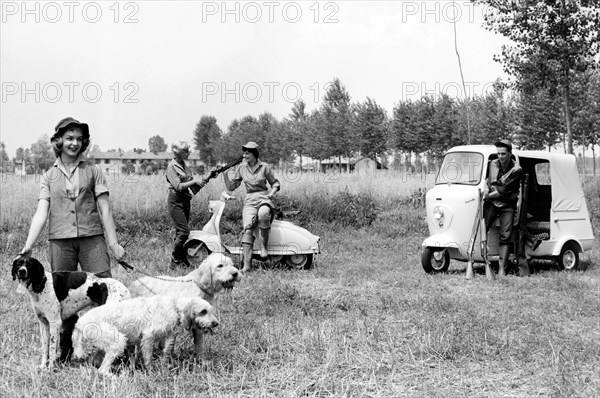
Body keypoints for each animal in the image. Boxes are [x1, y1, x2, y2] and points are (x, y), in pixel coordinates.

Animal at [72, 296, 218, 376]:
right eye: (203, 311)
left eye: (211, 310)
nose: (216, 323)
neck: (174, 306)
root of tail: (80, 321)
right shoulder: (148, 336)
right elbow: (148, 358)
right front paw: (151, 372)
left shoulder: (168, 337)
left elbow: (165, 353)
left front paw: (164, 368)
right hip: (118, 341)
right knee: (102, 370)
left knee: (95, 363)